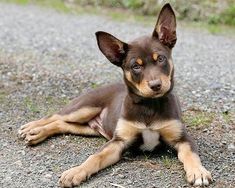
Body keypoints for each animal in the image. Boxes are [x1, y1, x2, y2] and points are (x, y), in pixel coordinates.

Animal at [18, 3, 212, 187]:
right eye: (136, 66)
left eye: (161, 59)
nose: (156, 86)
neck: (149, 105)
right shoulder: (119, 141)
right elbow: (95, 157)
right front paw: (75, 172)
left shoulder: (183, 139)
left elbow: (191, 155)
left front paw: (198, 172)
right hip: (84, 108)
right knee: (55, 116)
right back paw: (32, 128)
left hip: (88, 128)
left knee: (62, 124)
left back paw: (36, 133)